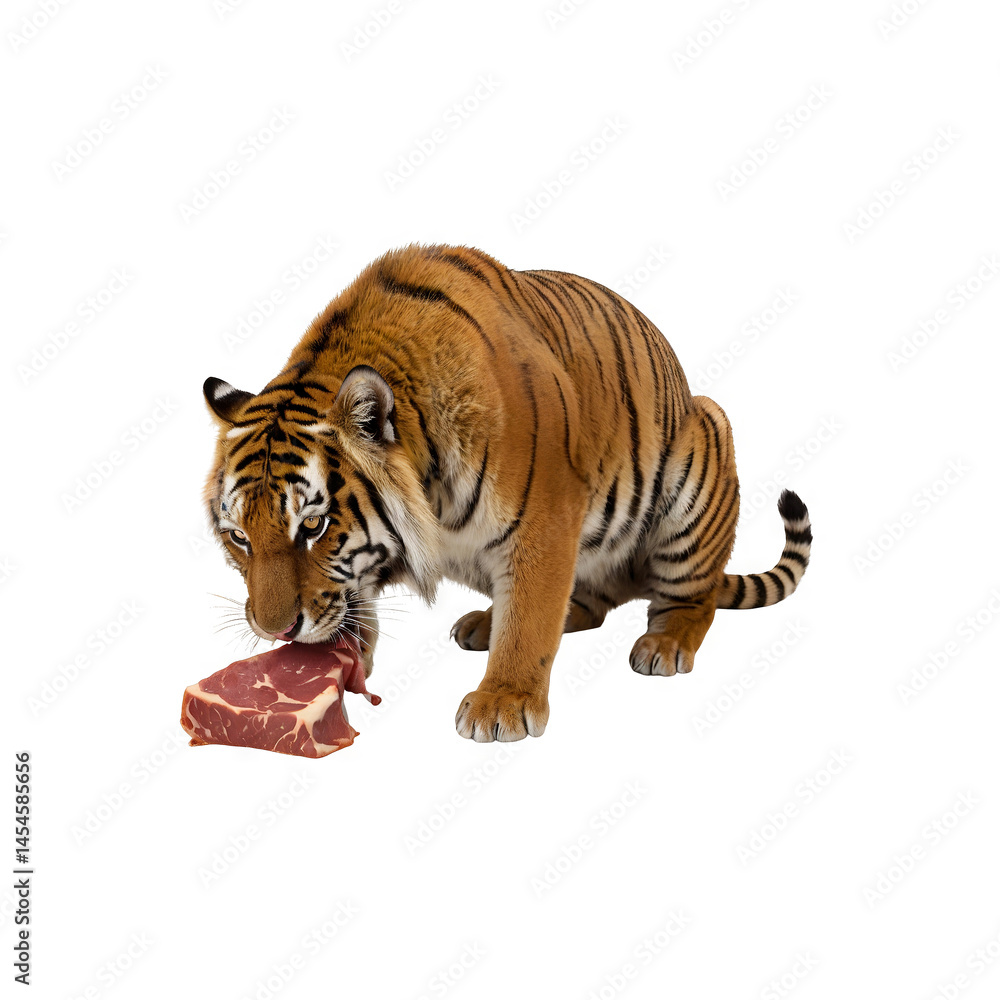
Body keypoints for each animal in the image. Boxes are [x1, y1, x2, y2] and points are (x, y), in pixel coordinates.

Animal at [203, 243, 812, 743]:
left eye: (313, 525)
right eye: (238, 537)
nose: (273, 630)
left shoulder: (546, 520)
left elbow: (531, 619)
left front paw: (504, 703)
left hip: (704, 441)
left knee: (690, 597)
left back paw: (665, 644)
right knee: (589, 602)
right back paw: (482, 622)